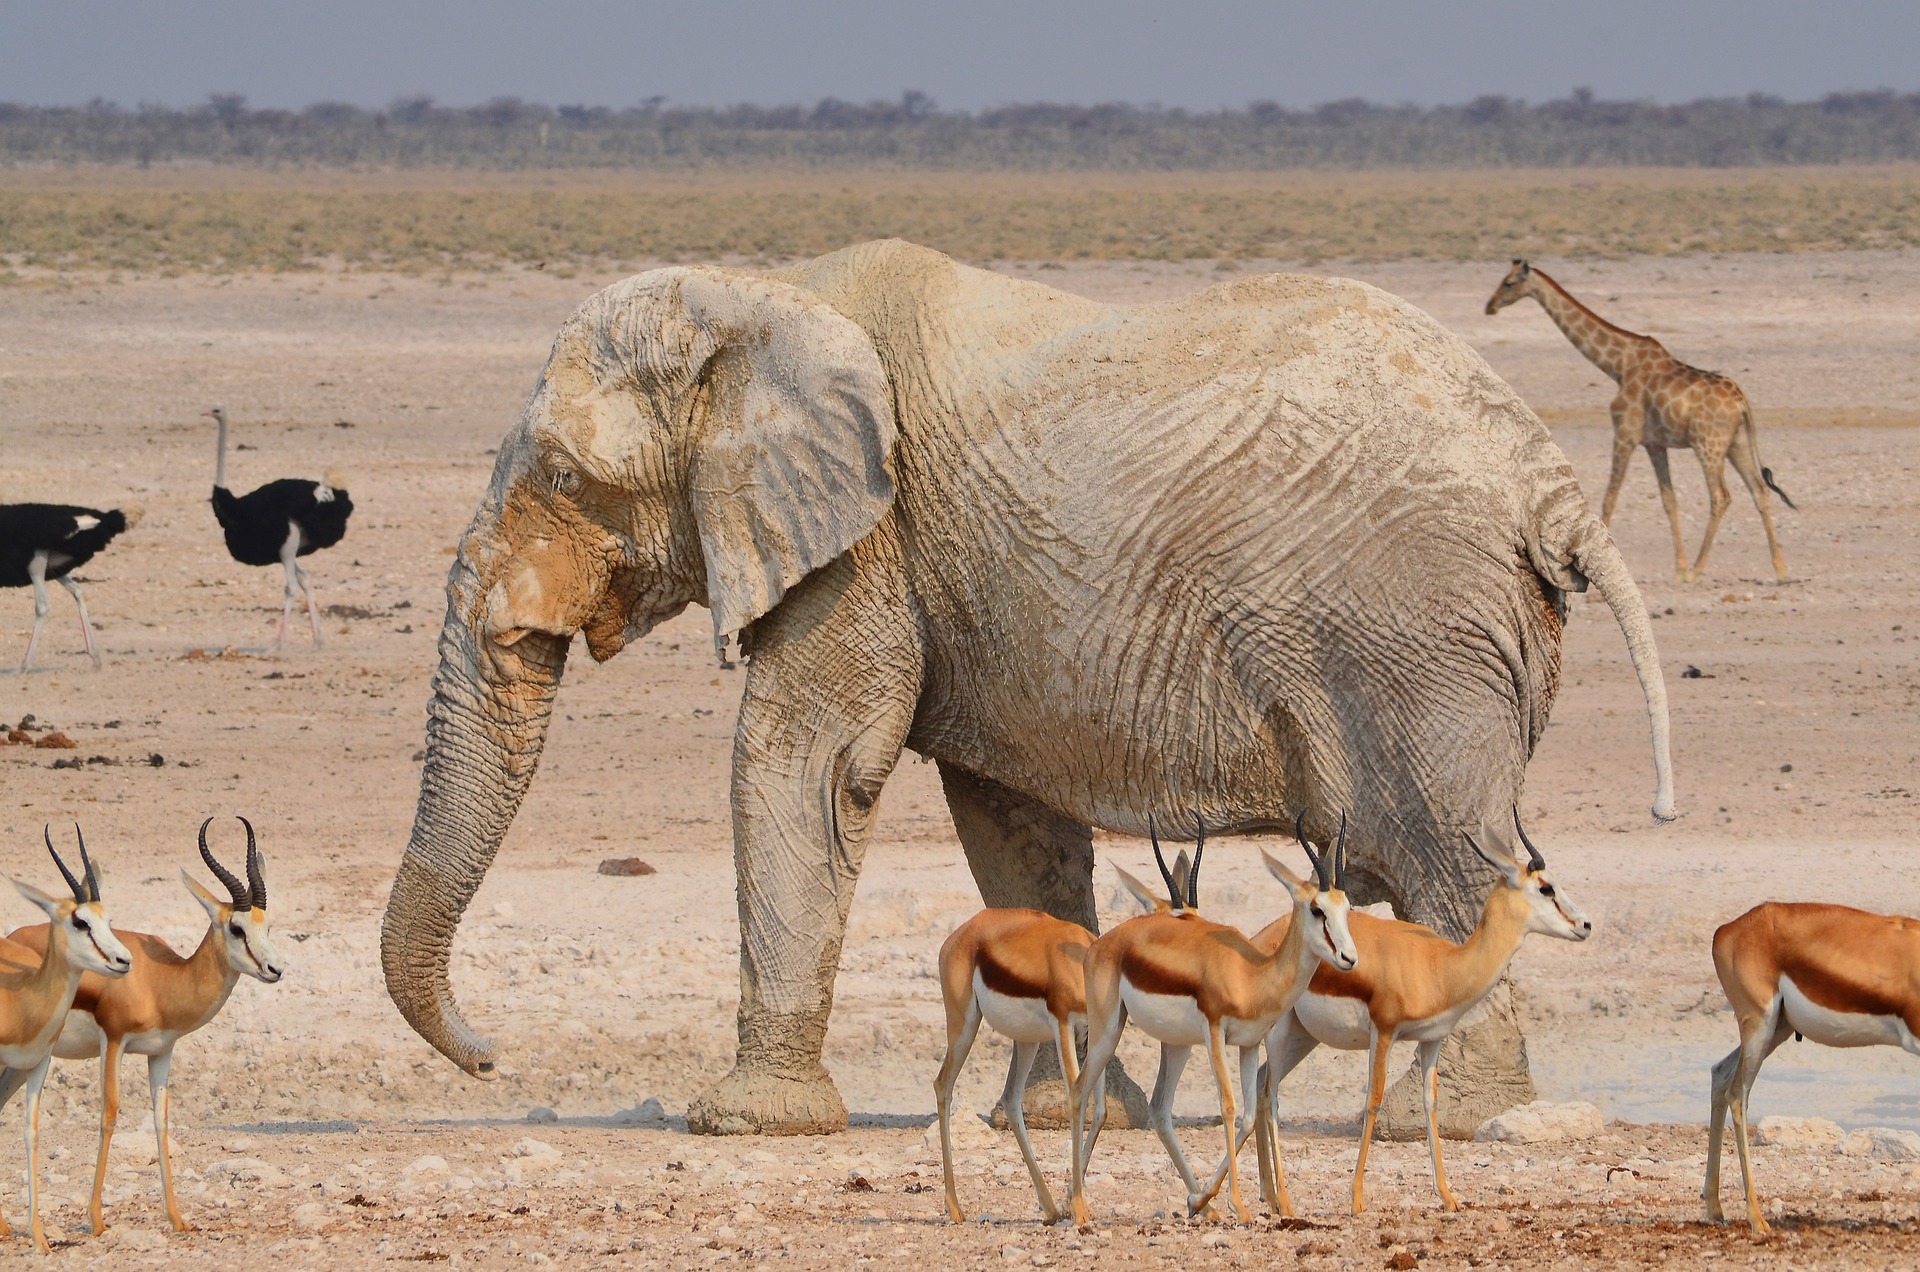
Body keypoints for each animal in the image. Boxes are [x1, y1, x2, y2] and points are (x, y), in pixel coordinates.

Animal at [382, 239, 1674, 1137]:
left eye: (565, 477)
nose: (492, 1057)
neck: (762, 295)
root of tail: (1551, 486)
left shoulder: (870, 543)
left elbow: (807, 766)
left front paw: (745, 1123)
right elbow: (1010, 823)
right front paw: (1062, 1116)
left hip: (1414, 635)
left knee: (1447, 855)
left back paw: (1443, 1120)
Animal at [1489, 261, 1789, 584]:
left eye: (1508, 283)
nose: (1489, 306)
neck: (1618, 365)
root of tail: (1742, 403)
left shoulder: (1624, 433)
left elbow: (1609, 497)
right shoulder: (1655, 444)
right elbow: (1669, 500)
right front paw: (1678, 567)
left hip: (1709, 445)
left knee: (1721, 496)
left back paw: (1699, 569)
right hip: (1737, 443)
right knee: (1759, 490)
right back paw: (1780, 568)